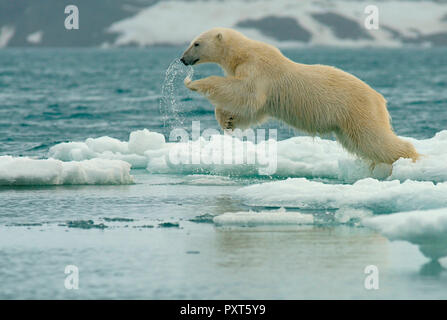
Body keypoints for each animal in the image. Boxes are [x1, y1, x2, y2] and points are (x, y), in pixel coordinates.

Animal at [181, 27, 420, 165]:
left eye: (196, 43)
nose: (183, 59)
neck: (243, 53)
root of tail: (379, 98)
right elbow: (253, 109)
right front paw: (227, 121)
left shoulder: (259, 69)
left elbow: (247, 93)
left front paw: (193, 83)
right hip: (346, 123)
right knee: (359, 142)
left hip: (357, 109)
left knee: (373, 138)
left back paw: (410, 158)